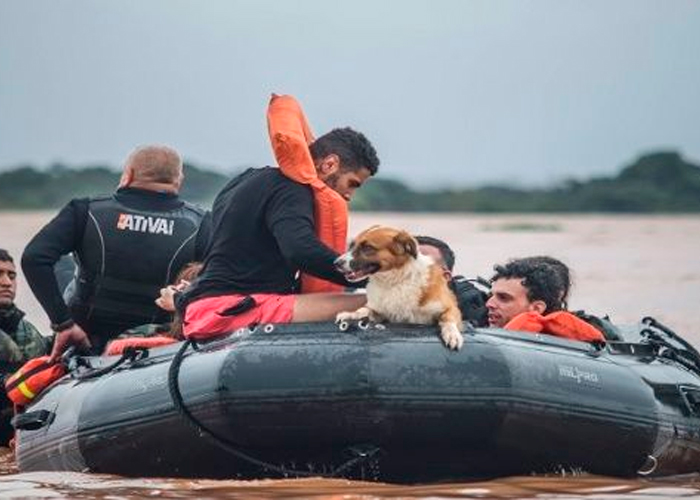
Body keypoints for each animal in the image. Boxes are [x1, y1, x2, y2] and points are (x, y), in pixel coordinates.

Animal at [334, 225, 464, 350]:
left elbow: (448, 319)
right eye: (351, 245)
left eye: (367, 247)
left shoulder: (450, 308)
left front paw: (452, 334)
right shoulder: (381, 312)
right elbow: (363, 309)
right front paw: (351, 314)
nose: (336, 263)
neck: (394, 280)